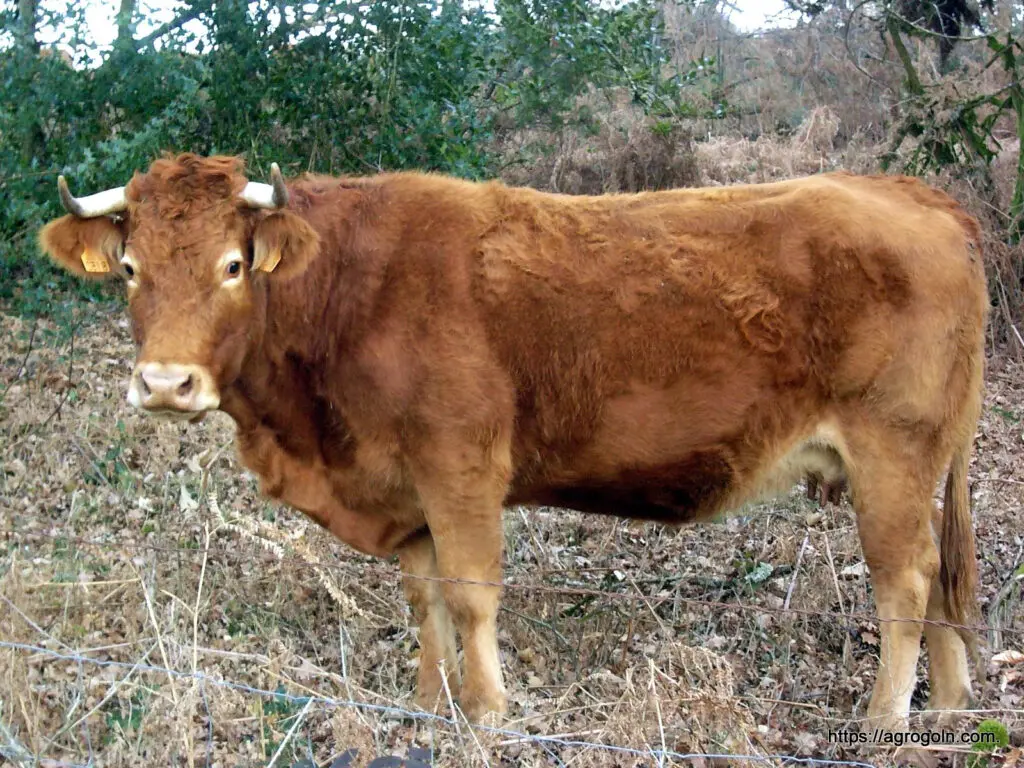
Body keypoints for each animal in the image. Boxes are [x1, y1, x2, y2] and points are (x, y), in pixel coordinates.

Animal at [39, 153, 987, 730]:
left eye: (232, 265)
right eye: (131, 269)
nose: (166, 384)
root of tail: (913, 193)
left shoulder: (459, 467)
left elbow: (469, 595)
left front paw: (489, 714)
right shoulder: (404, 485)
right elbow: (423, 598)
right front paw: (430, 700)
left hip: (893, 454)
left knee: (905, 578)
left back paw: (885, 717)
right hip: (926, 461)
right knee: (940, 572)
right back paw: (945, 708)